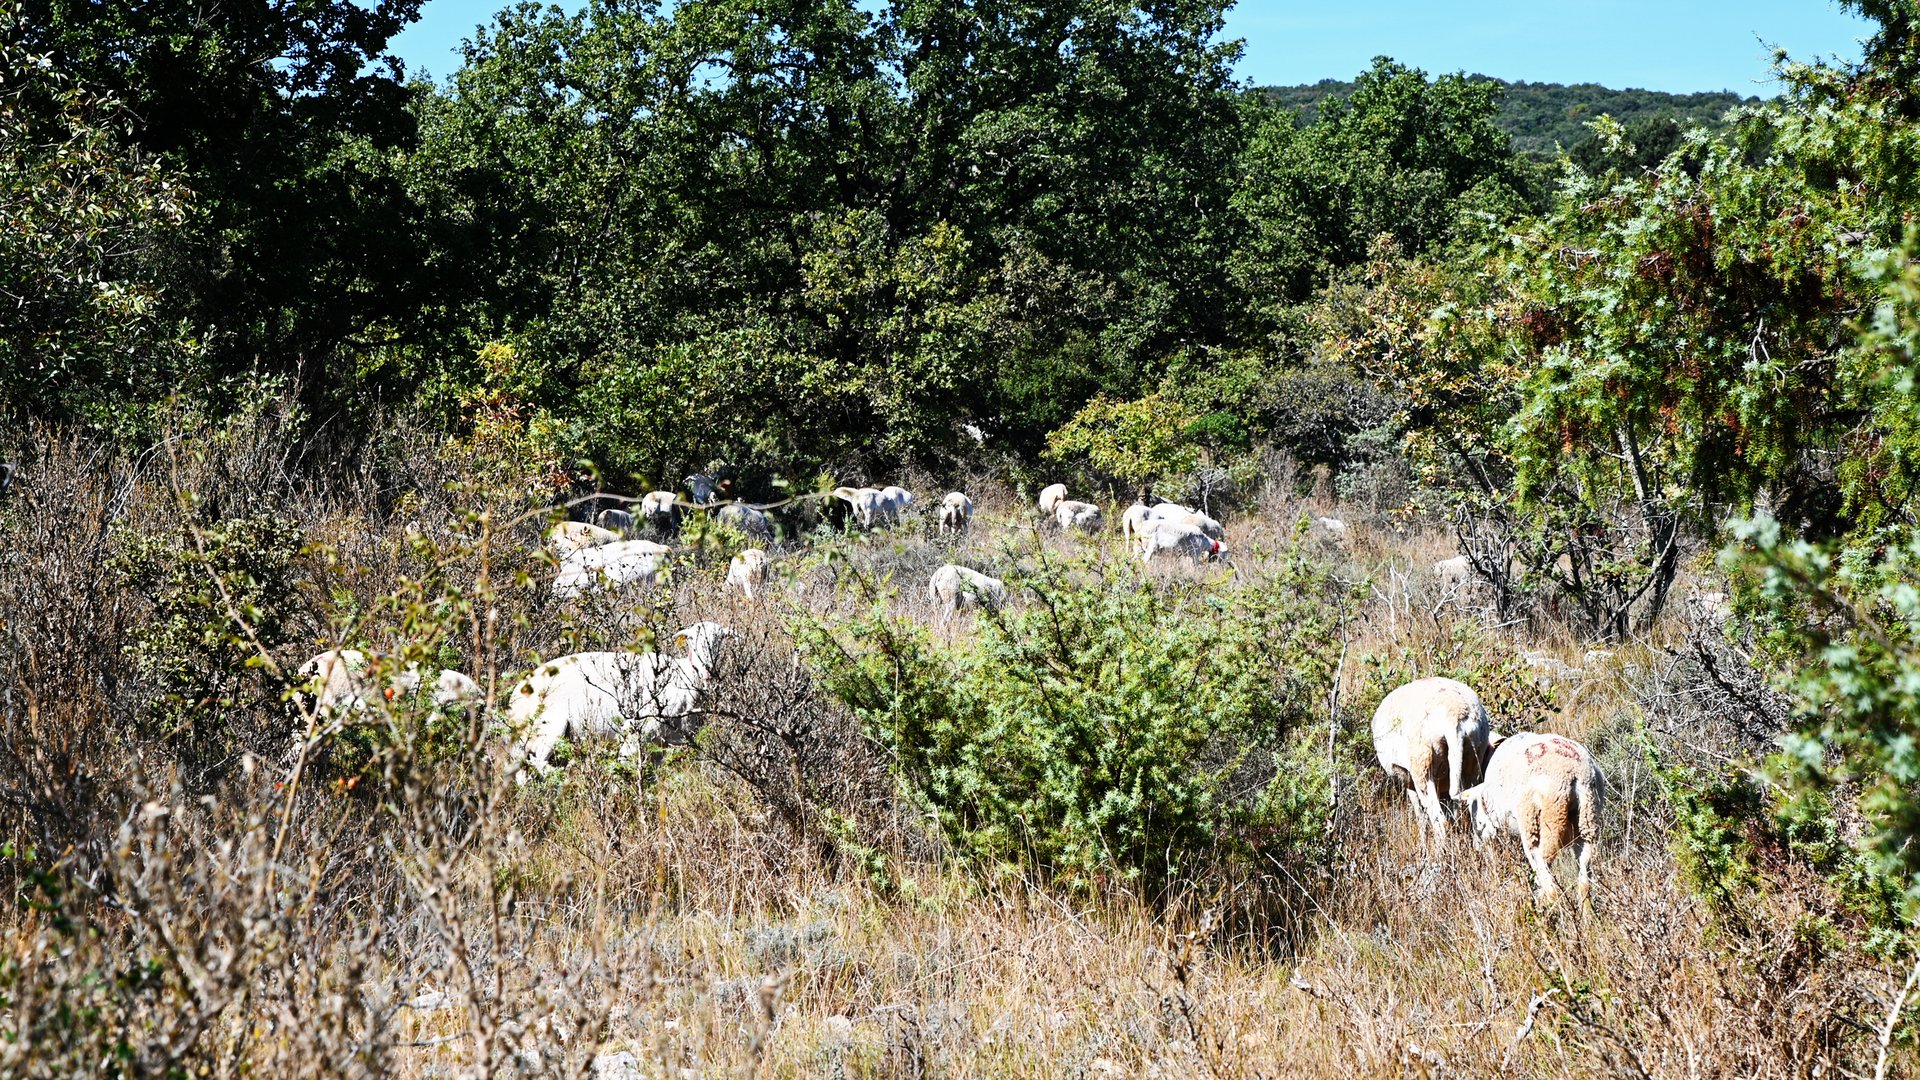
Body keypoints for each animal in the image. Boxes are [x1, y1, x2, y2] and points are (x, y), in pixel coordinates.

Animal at [510, 618, 733, 776]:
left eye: (719, 639)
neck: (685, 677)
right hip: (548, 727)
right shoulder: (637, 728)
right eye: (692, 640)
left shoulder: (666, 744)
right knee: (537, 762)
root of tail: (515, 699)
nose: (707, 670)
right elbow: (624, 767)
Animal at [1374, 672, 1489, 841]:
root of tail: (1455, 716)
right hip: (1473, 763)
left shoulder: (1409, 781)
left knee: (1440, 821)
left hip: (1423, 770)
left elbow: (1420, 816)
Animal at [1466, 730, 1605, 899]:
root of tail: (1574, 773)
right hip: (1587, 818)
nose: (1475, 848)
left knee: (1547, 877)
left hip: (1536, 823)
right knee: (1584, 874)